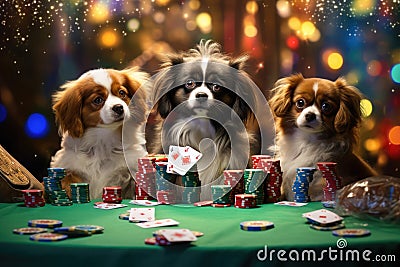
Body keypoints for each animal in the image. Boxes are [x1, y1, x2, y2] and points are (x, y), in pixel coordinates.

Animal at [50, 68, 150, 200]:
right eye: (98, 100)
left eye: (122, 93)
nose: (119, 107)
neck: (104, 140)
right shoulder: (70, 164)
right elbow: (68, 180)